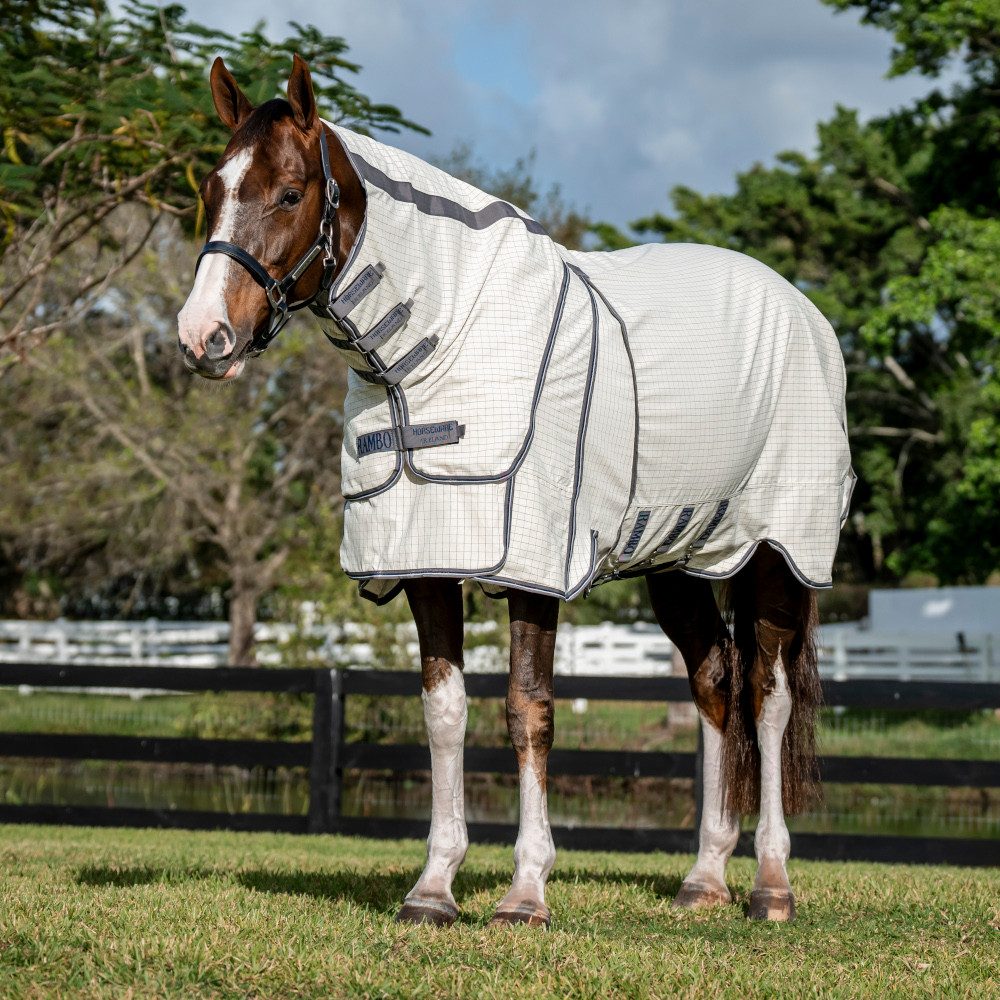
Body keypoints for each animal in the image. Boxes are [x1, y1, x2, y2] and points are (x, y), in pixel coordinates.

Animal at [177, 55, 855, 927]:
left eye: (290, 194)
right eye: (211, 187)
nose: (203, 337)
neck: (438, 348)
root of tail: (804, 312)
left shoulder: (531, 567)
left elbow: (528, 711)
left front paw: (525, 891)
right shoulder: (429, 560)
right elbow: (445, 713)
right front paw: (433, 888)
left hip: (776, 551)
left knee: (768, 698)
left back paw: (771, 884)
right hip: (678, 560)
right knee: (714, 683)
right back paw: (703, 878)